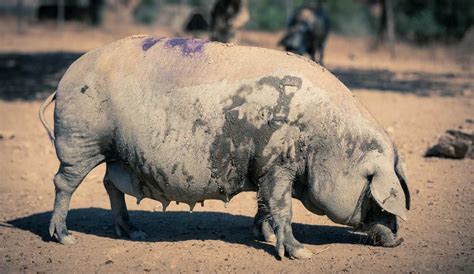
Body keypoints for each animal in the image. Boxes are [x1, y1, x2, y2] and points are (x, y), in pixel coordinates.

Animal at [39, 35, 412, 260]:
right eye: (375, 197)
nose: (399, 239)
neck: (327, 141)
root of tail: (64, 80)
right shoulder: (278, 163)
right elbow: (282, 207)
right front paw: (301, 253)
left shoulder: (265, 168)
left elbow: (265, 204)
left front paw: (263, 236)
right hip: (81, 141)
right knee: (63, 182)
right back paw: (65, 238)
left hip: (117, 155)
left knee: (109, 184)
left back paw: (135, 233)